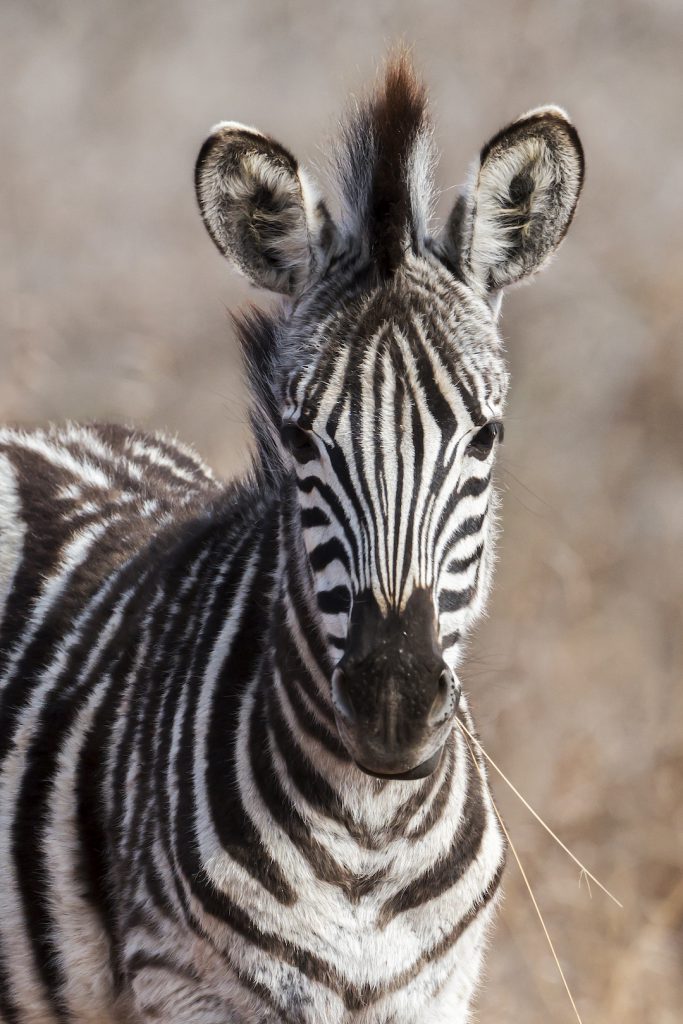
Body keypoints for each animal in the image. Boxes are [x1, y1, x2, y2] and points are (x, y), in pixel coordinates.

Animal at [0, 54, 581, 1024]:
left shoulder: (436, 994)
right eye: (301, 439)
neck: (371, 834)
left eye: (485, 438)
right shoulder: (181, 986)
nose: (393, 703)